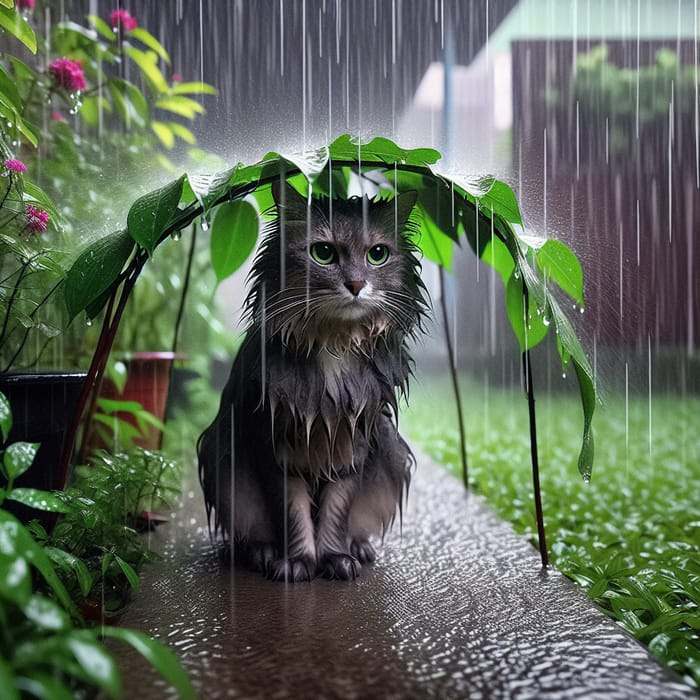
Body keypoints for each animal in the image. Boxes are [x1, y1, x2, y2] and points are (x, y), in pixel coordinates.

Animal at [196, 179, 426, 580]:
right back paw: (262, 552)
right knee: (248, 531)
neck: (333, 341)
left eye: (377, 255)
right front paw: (298, 562)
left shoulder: (354, 442)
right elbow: (292, 512)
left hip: (391, 449)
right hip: (221, 454)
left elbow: (336, 510)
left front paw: (335, 558)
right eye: (323, 253)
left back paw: (359, 548)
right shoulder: (275, 444)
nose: (356, 283)